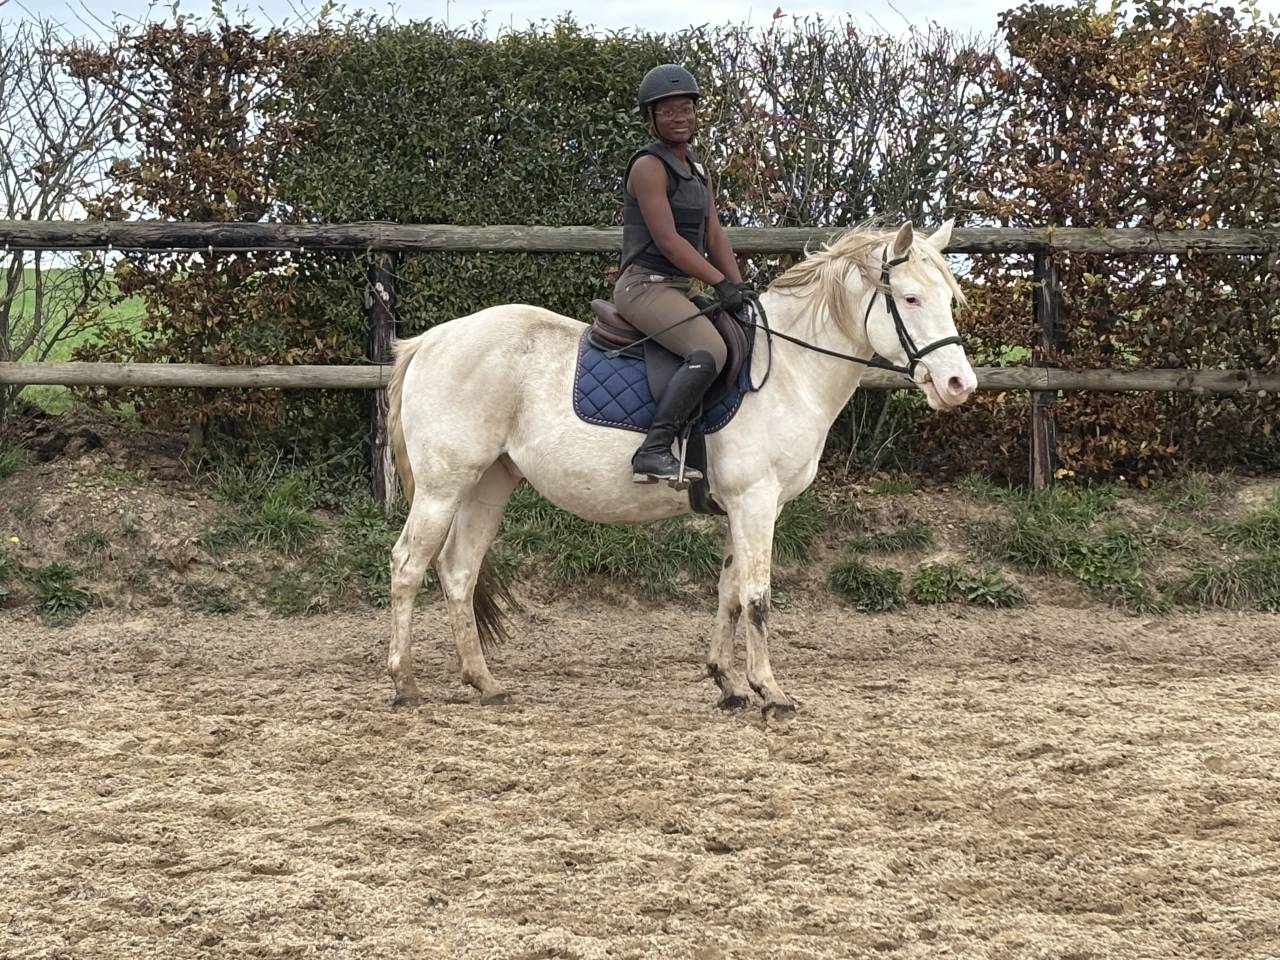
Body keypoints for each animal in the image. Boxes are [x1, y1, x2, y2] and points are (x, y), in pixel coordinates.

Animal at [384, 220, 977, 715]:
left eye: (948, 299)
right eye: (910, 298)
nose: (959, 385)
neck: (788, 369)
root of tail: (432, 339)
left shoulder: (745, 507)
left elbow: (729, 593)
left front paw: (729, 684)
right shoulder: (756, 501)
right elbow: (757, 597)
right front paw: (771, 691)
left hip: (489, 483)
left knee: (459, 571)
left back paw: (484, 682)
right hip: (443, 486)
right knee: (408, 566)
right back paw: (405, 683)